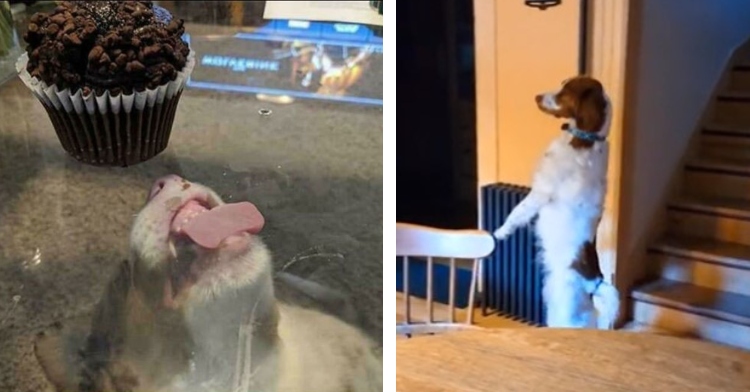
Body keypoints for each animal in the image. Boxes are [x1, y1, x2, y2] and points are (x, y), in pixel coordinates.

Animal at [494, 75, 624, 330]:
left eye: (566, 91)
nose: (536, 97)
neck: (585, 140)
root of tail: (594, 283)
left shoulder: (540, 191)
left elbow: (515, 214)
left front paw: (498, 233)